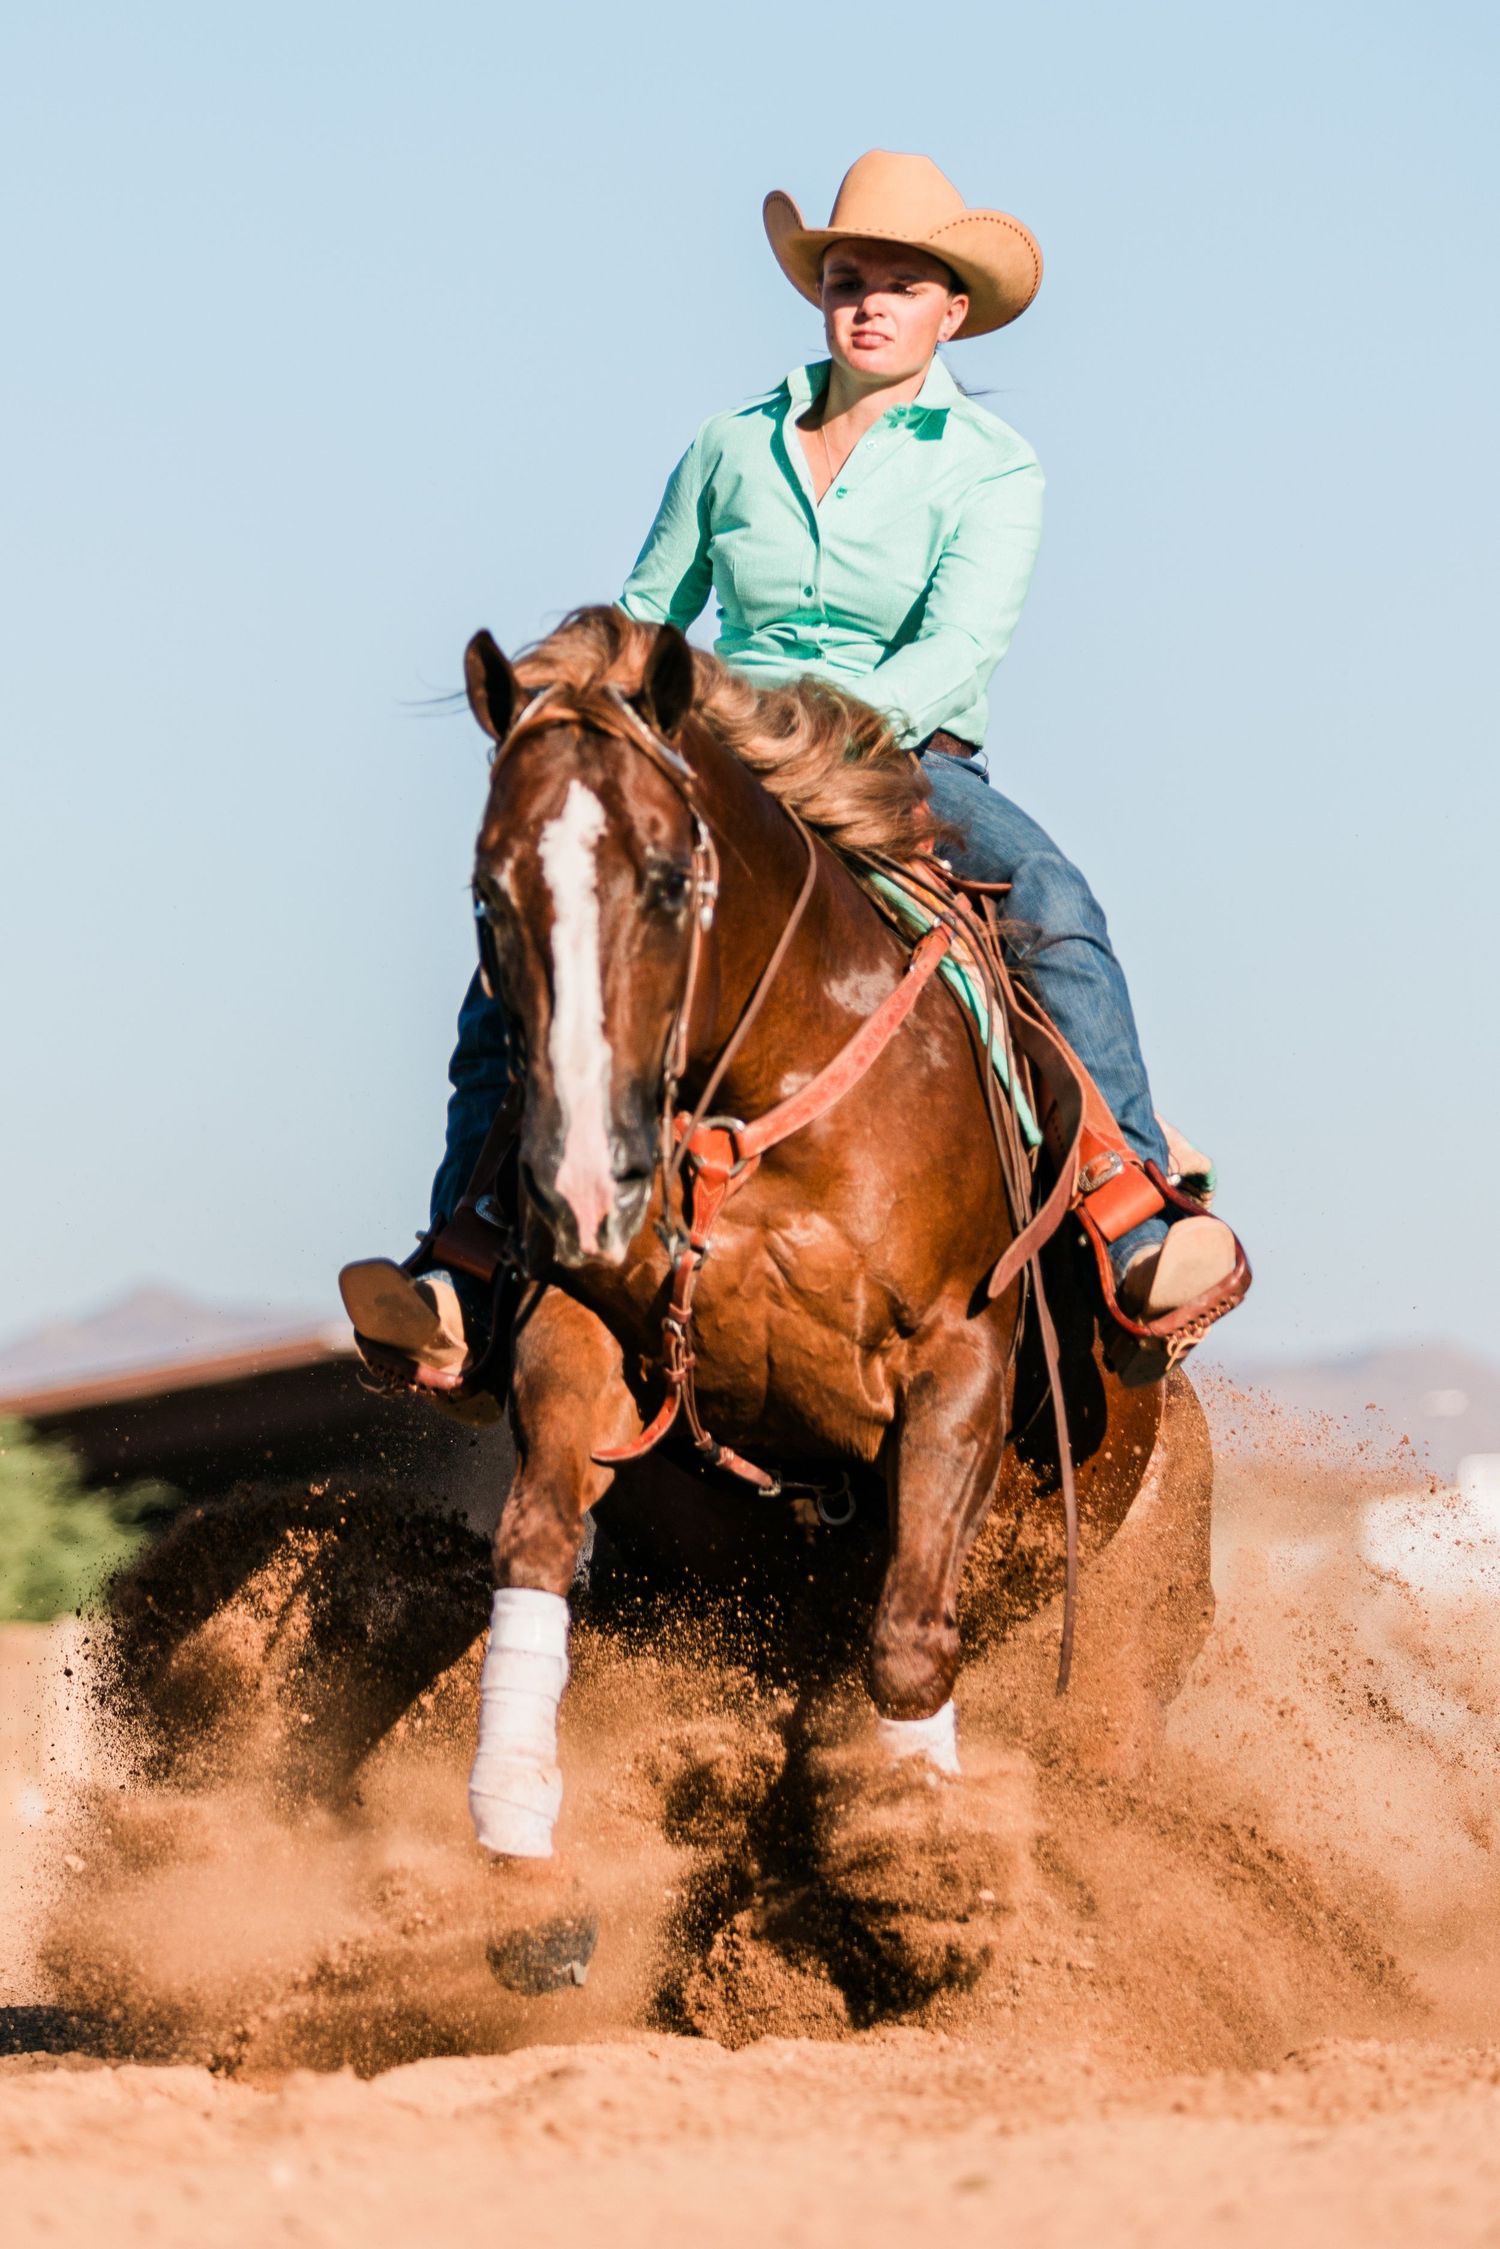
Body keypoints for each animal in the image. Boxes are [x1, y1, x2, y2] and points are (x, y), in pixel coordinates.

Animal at [455, 605, 1214, 1986]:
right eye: (491, 893)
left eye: (666, 876)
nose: (582, 1175)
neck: (764, 1082)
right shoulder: (579, 1326)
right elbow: (532, 1544)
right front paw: (522, 1872)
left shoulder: (961, 1361)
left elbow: (910, 1636)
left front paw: (923, 1883)